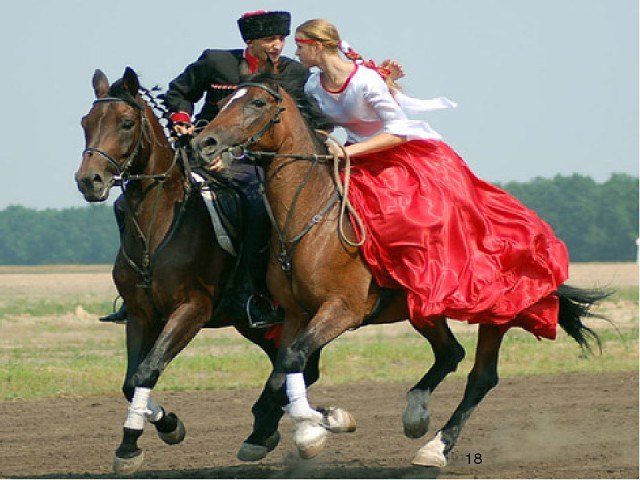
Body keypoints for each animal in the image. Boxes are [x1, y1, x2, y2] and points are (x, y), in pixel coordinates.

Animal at [75, 66, 356, 472]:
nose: (89, 180)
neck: (159, 226)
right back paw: (272, 428)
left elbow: (147, 369)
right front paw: (146, 434)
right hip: (258, 324)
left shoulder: (191, 310)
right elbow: (131, 381)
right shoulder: (141, 314)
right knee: (296, 366)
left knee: (298, 365)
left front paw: (144, 438)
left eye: (126, 123)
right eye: (86, 122)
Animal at [192, 73, 608, 466]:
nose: (204, 143)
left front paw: (317, 428)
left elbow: (294, 361)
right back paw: (415, 415)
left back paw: (436, 447)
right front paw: (308, 424)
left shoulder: (342, 310)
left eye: (257, 103)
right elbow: (283, 370)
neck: (313, 220)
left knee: (480, 377)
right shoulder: (296, 314)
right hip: (423, 309)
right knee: (450, 353)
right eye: (225, 100)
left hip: (495, 312)